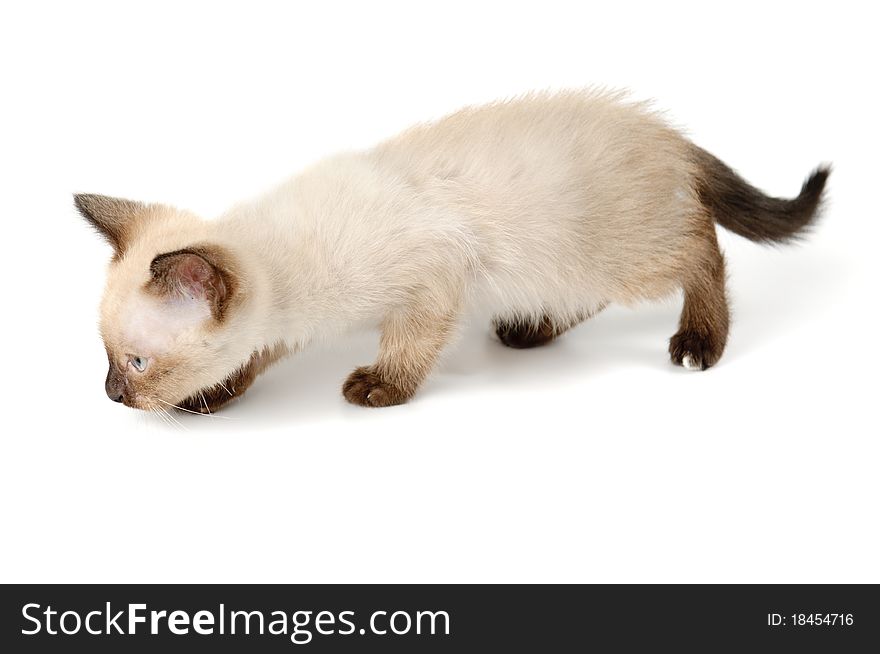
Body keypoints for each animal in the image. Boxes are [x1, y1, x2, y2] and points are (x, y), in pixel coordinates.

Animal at [79, 89, 828, 412]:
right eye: (110, 360)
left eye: (137, 363)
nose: (111, 394)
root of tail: (668, 134)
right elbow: (254, 353)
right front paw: (217, 392)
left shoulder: (431, 284)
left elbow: (408, 347)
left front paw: (380, 387)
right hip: (562, 261)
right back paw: (532, 329)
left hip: (629, 255)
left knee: (705, 251)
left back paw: (700, 341)